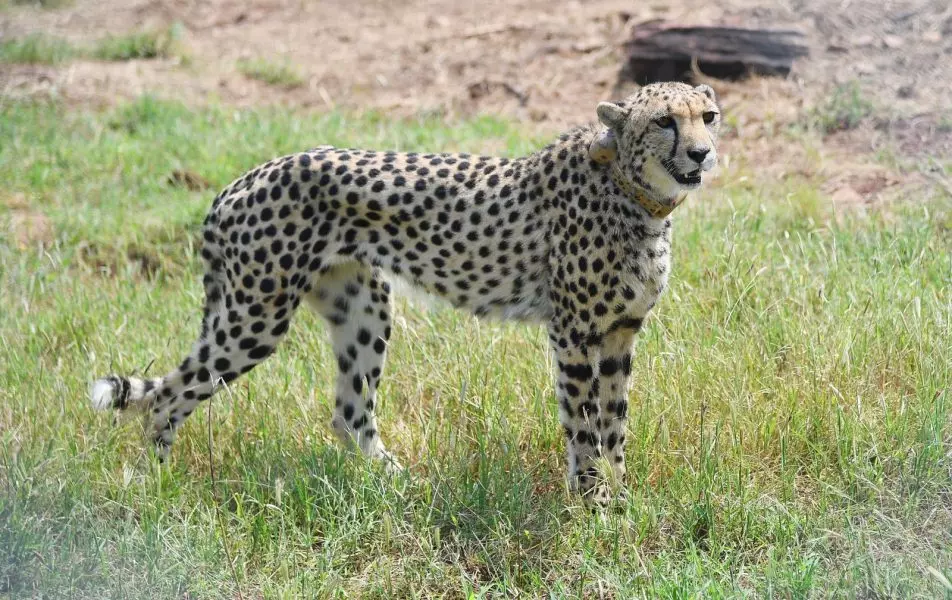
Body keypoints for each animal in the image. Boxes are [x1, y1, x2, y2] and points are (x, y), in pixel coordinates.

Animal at [90, 81, 721, 505]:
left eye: (709, 116)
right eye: (665, 121)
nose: (702, 152)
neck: (635, 194)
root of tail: (241, 180)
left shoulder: (619, 333)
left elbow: (615, 423)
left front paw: (622, 498)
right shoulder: (574, 333)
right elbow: (584, 424)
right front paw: (593, 502)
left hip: (363, 307)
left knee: (349, 413)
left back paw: (400, 486)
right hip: (256, 317)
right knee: (169, 396)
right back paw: (155, 484)